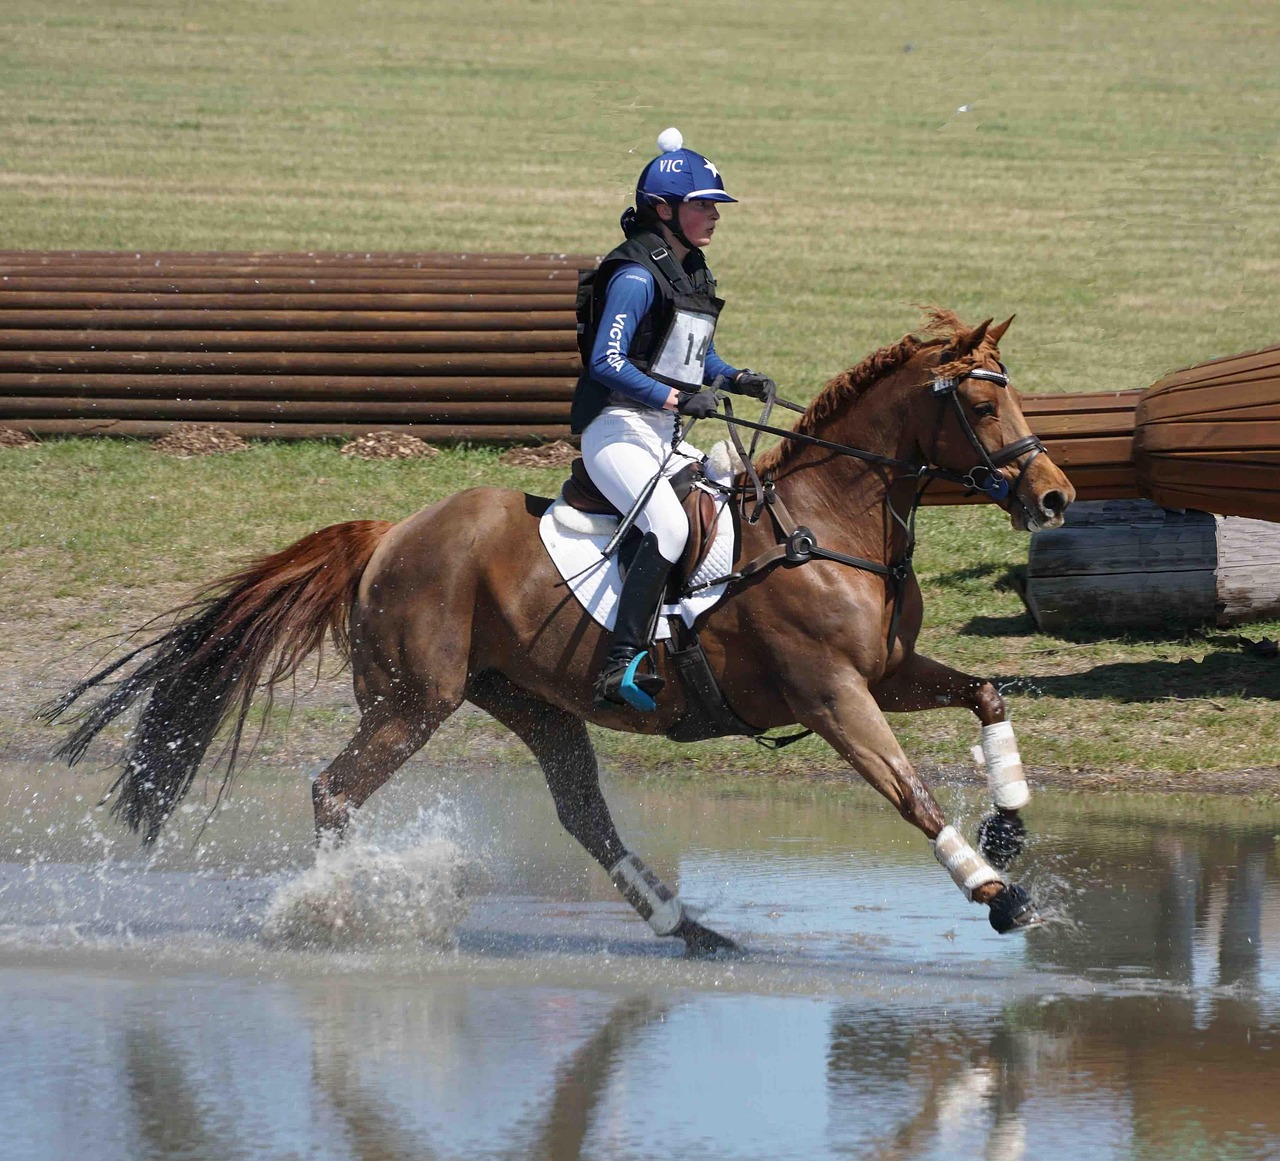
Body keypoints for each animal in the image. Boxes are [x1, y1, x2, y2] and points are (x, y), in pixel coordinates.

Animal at [42, 309, 1076, 954]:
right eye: (983, 404)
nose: (1055, 498)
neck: (833, 525)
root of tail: (391, 531)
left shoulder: (889, 669)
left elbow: (987, 692)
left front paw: (1010, 822)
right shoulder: (831, 693)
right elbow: (909, 793)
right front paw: (998, 893)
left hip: (530, 701)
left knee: (583, 814)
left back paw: (690, 930)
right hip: (414, 700)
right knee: (336, 790)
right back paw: (338, 910)